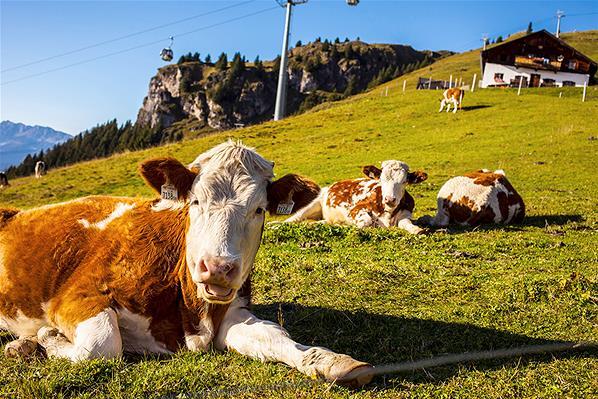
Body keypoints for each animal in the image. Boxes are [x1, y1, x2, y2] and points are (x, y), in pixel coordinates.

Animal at [288, 160, 432, 234]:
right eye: (381, 179)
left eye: (404, 182)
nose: (390, 199)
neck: (388, 212)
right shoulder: (355, 210)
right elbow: (366, 223)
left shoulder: (406, 213)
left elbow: (407, 223)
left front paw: (417, 229)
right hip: (314, 204)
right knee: (294, 219)